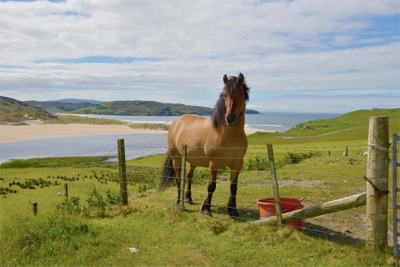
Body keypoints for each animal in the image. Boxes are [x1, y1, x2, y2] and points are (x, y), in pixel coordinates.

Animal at [159, 74, 250, 220]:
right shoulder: (214, 164)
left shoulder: (237, 164)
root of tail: (176, 122)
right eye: (224, 95)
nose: (230, 118)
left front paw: (233, 210)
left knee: (189, 176)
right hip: (176, 159)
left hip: (193, 160)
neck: (228, 136)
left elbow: (233, 187)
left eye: (241, 93)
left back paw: (188, 198)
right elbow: (211, 186)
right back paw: (179, 202)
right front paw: (206, 209)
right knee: (179, 179)